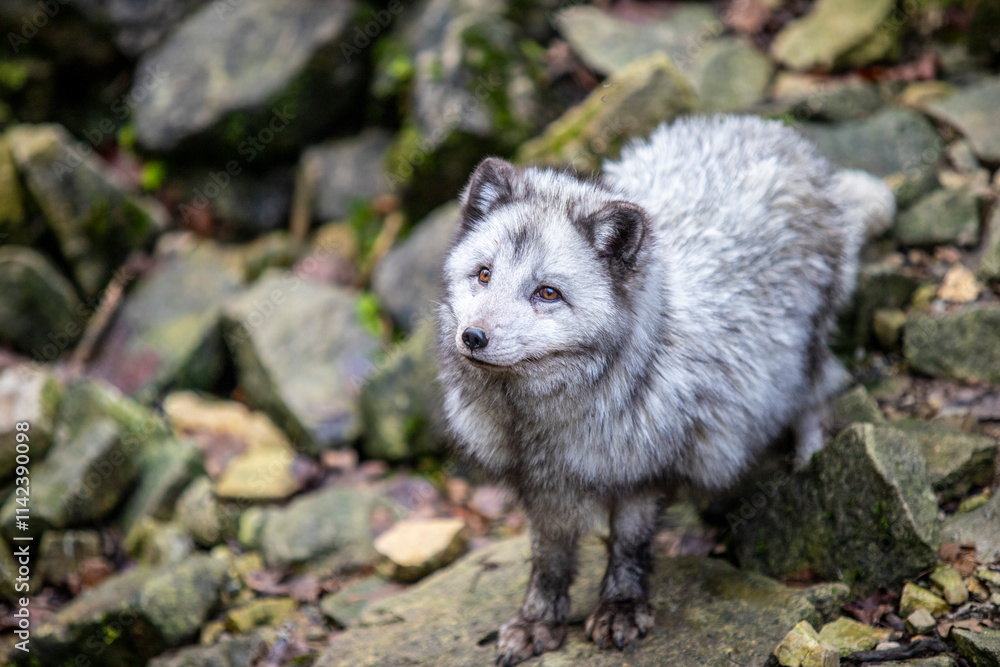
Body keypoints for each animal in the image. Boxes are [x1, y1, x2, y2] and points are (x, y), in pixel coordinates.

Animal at [436, 115, 895, 665]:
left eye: (547, 293)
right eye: (483, 274)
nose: (473, 337)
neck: (540, 424)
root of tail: (770, 130)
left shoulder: (643, 472)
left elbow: (629, 545)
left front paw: (621, 608)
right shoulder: (542, 488)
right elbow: (549, 559)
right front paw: (538, 621)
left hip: (806, 347)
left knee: (816, 391)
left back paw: (808, 457)